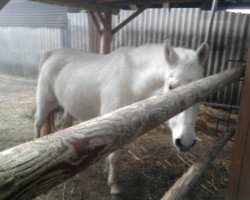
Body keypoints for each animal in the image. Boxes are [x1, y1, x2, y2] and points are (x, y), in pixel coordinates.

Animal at [34, 40, 208, 197]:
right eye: (171, 87)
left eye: (201, 90)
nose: (185, 142)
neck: (132, 81)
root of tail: (52, 53)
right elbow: (114, 157)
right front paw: (114, 186)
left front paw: (106, 171)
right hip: (45, 102)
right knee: (38, 122)